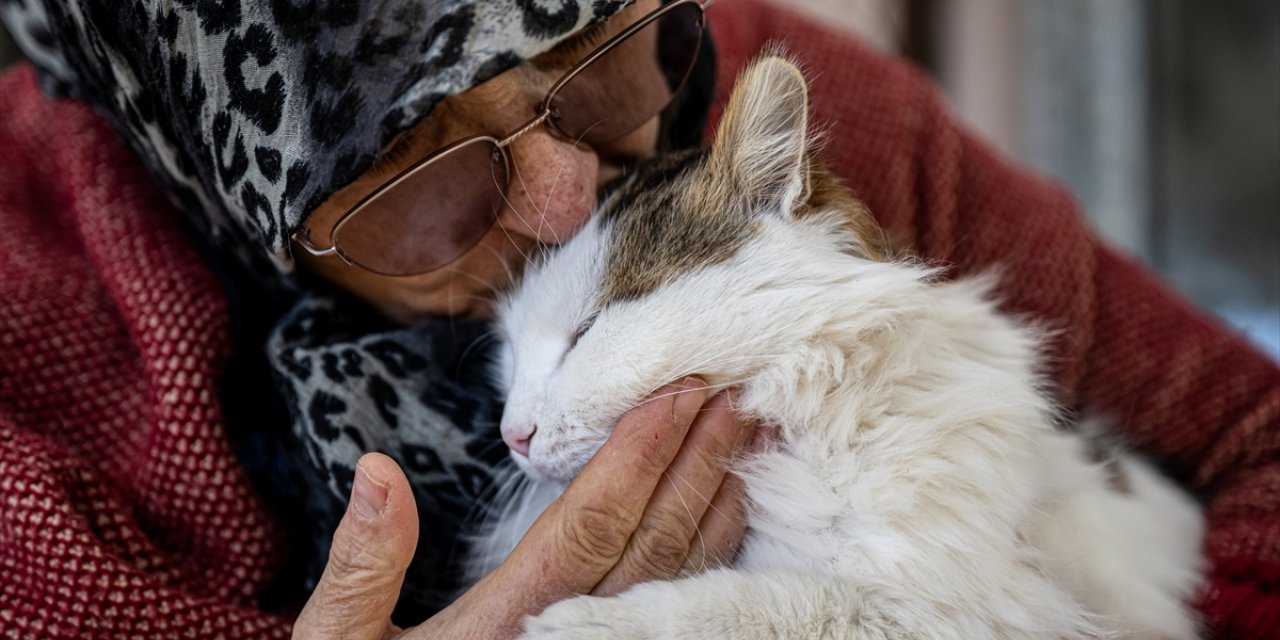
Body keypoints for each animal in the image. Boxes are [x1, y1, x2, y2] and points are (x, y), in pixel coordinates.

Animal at [476, 55, 1203, 640]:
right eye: (510, 358)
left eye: (587, 329)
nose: (513, 434)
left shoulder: (948, 603)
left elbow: (748, 609)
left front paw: (578, 623)